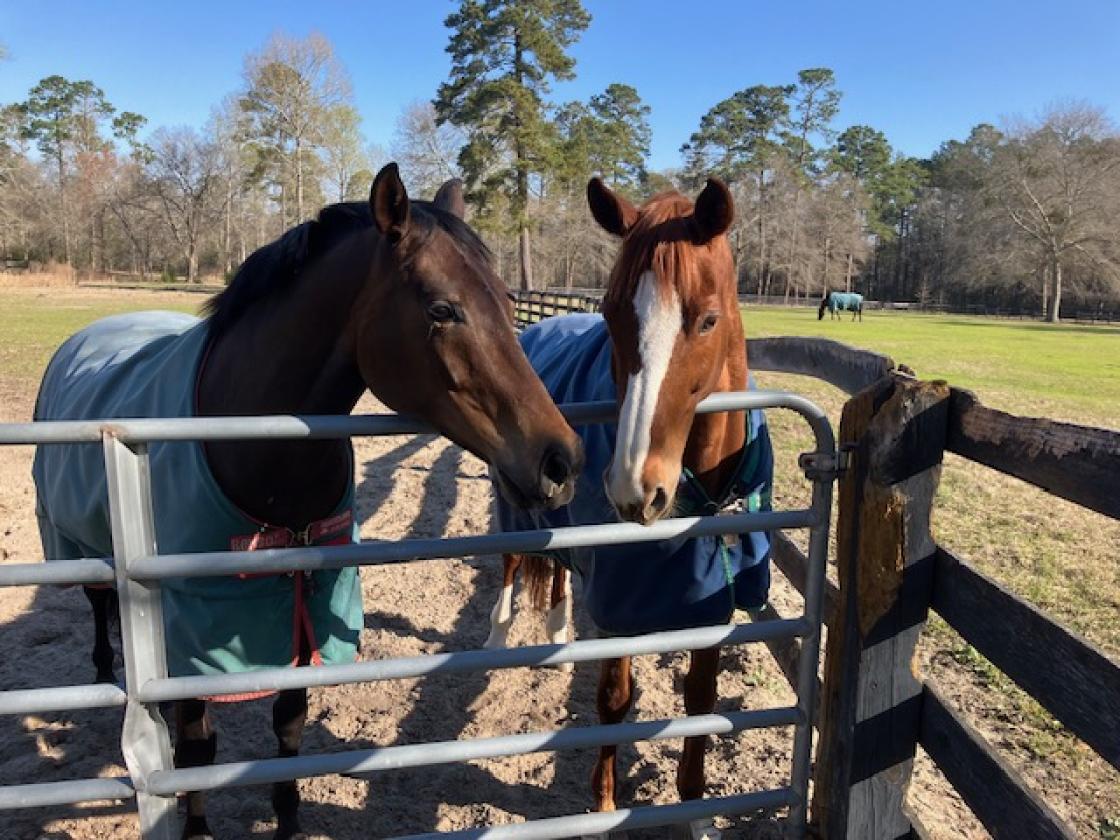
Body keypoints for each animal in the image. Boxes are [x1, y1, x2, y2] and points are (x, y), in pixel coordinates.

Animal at [31, 163, 583, 840]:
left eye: (508, 302)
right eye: (442, 308)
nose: (560, 461)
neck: (252, 444)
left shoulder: (303, 603)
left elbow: (289, 726)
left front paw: (290, 822)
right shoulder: (186, 623)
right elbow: (196, 746)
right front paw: (197, 829)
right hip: (78, 545)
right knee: (98, 606)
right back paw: (105, 678)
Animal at [487, 176, 774, 825]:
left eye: (707, 320)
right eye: (611, 314)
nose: (634, 489)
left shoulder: (711, 607)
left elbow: (702, 701)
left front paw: (692, 804)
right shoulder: (621, 604)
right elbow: (614, 699)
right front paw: (604, 803)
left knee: (559, 567)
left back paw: (558, 633)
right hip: (516, 502)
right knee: (514, 561)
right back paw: (496, 637)